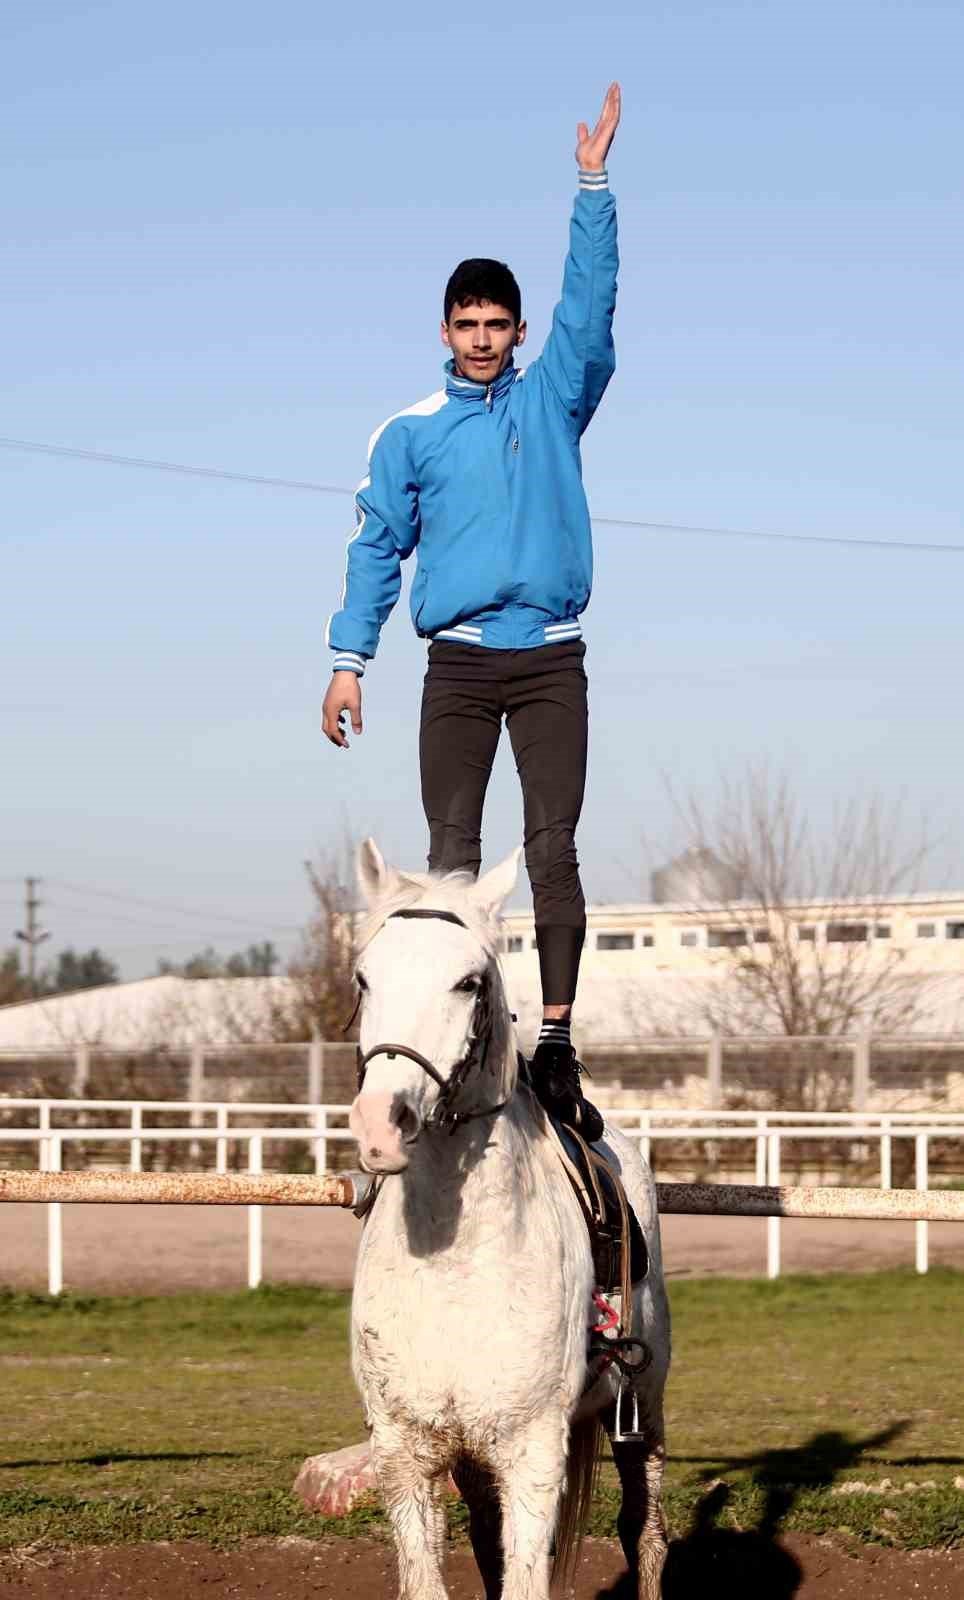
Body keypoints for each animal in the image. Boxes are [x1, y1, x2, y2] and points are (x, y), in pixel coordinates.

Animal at [345, 838, 669, 1600]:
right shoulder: (407, 1452)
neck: (454, 1265)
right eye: (364, 978)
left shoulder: (532, 1453)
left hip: (643, 1409)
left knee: (645, 1532)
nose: (380, 1126)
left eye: (468, 983)